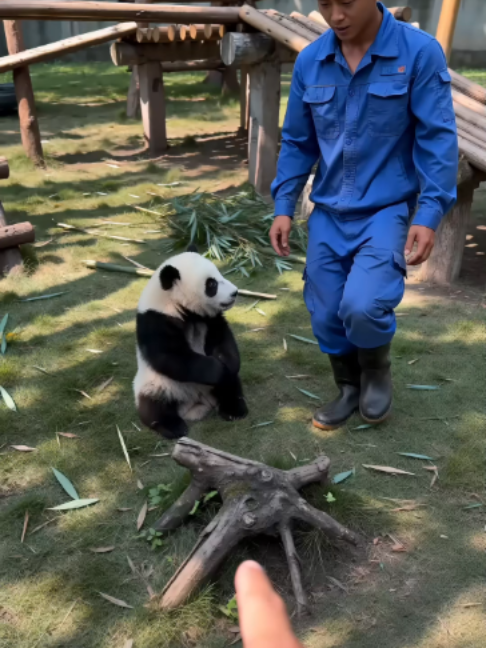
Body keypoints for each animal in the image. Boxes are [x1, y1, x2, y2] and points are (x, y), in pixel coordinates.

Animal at [133, 247, 248, 439]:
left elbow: (223, 341)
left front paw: (228, 365)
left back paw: (234, 410)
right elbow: (173, 357)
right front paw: (219, 369)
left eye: (218, 274)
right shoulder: (155, 321)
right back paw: (173, 427)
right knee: (153, 405)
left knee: (231, 387)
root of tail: (197, 404)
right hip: (156, 384)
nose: (235, 292)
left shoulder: (210, 319)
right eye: (211, 284)